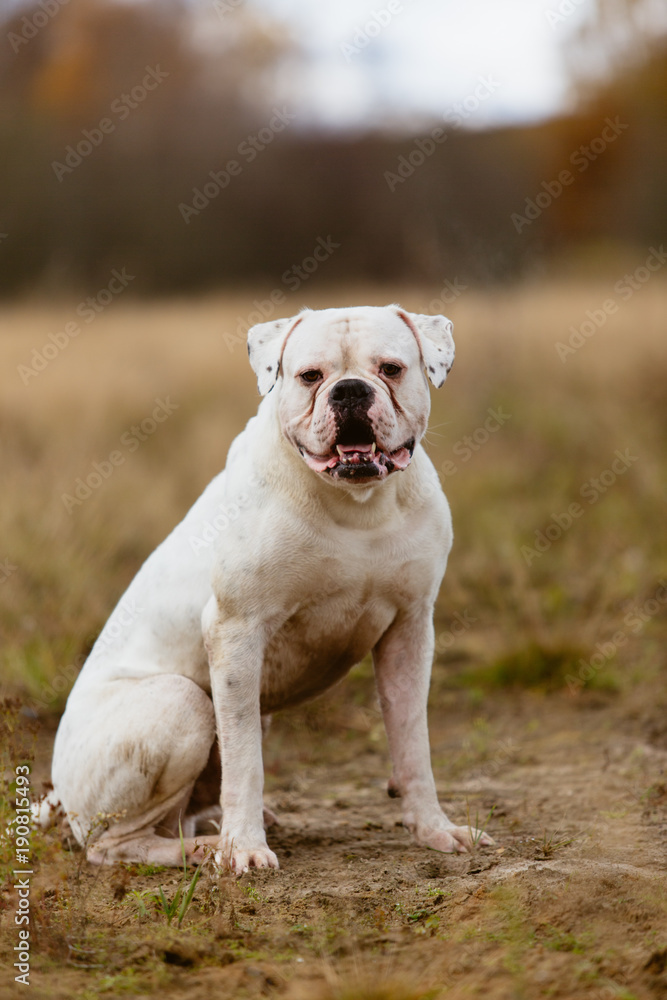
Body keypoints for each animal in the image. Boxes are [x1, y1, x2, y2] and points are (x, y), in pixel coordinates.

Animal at [47, 302, 494, 868]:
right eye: (310, 376)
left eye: (391, 369)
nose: (350, 390)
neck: (358, 506)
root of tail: (57, 796)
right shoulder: (236, 632)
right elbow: (246, 763)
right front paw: (244, 849)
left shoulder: (410, 630)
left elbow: (413, 742)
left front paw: (434, 829)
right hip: (179, 703)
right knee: (115, 844)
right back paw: (206, 847)